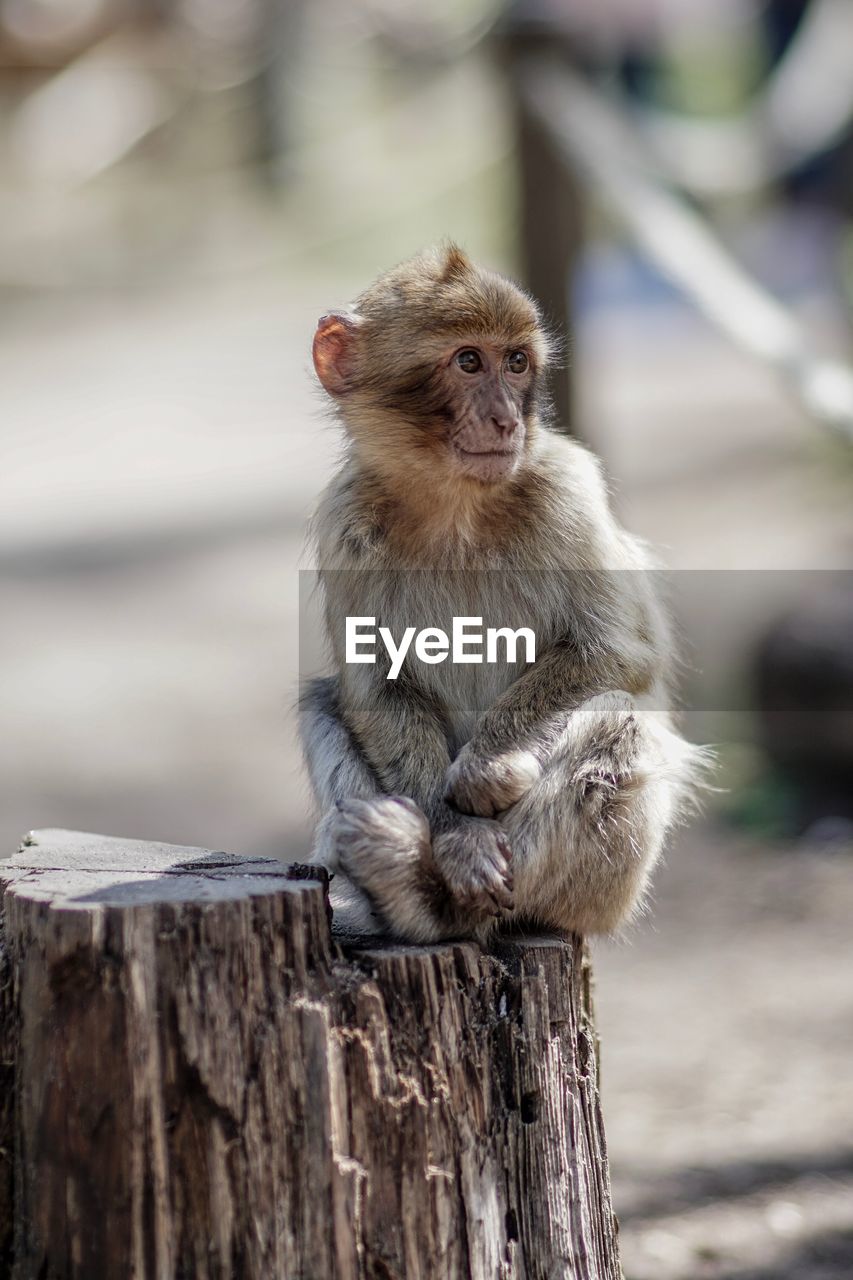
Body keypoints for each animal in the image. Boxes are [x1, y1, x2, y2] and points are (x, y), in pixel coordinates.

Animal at [295, 241, 701, 942]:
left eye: (516, 362)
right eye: (467, 361)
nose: (506, 418)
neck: (455, 507)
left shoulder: (569, 490)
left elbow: (619, 654)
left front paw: (486, 768)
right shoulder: (343, 523)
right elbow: (376, 690)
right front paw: (459, 840)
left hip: (602, 894)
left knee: (617, 721)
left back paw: (436, 898)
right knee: (323, 702)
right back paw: (407, 885)